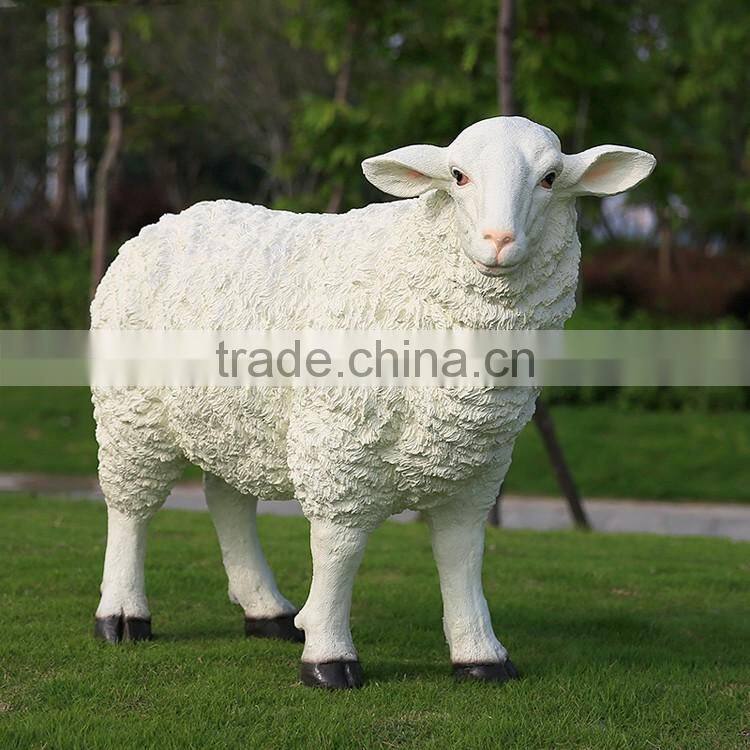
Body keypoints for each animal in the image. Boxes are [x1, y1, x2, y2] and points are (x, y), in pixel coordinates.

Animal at [90, 116, 655, 689]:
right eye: (457, 176)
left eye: (550, 177)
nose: (498, 241)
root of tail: (166, 222)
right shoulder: (338, 446)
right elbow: (339, 550)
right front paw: (328, 658)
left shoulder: (476, 465)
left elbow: (463, 555)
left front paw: (481, 655)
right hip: (132, 411)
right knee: (130, 507)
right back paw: (122, 616)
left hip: (231, 417)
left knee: (226, 498)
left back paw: (266, 610)